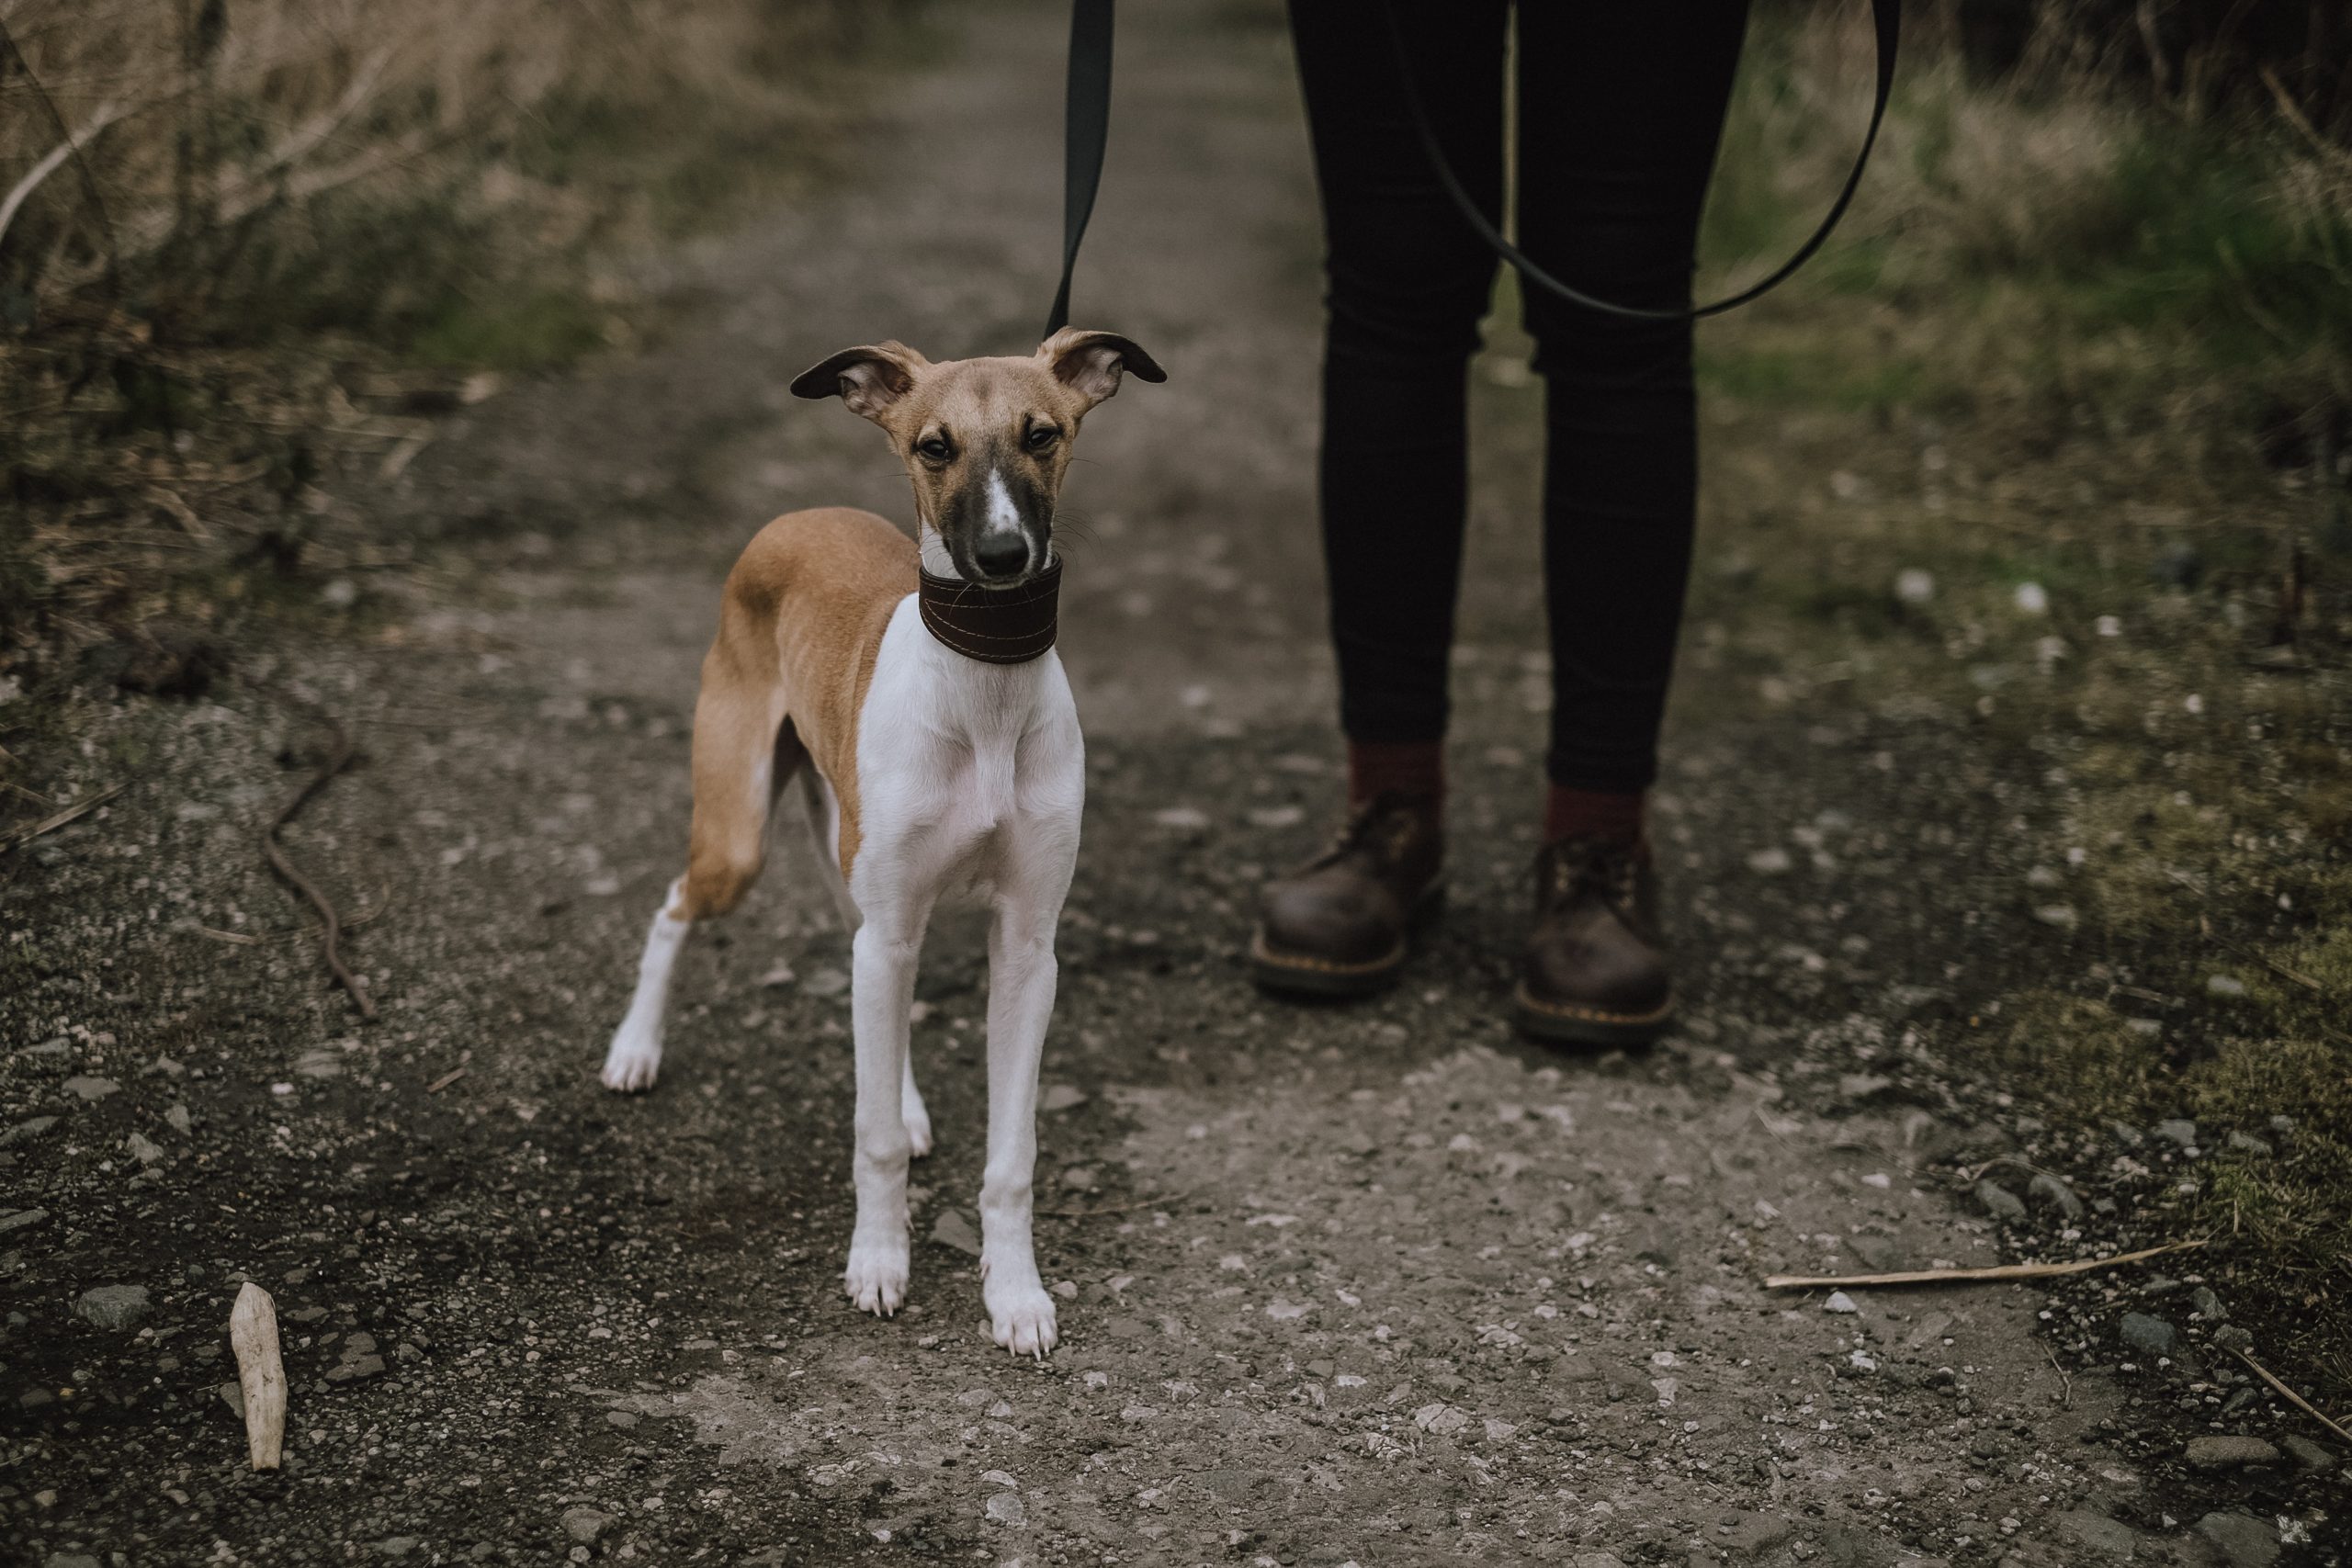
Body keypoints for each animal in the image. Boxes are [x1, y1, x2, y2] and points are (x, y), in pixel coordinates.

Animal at [602, 324, 1161, 1354]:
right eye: (933, 447)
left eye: (1042, 434)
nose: (1001, 556)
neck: (983, 690)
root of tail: (797, 514)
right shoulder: (894, 919)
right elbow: (871, 1138)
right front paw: (878, 1262)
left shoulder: (1028, 949)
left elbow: (1011, 1152)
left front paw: (1015, 1293)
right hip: (739, 838)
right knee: (676, 907)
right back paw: (635, 1048)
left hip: (855, 868)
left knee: (865, 975)